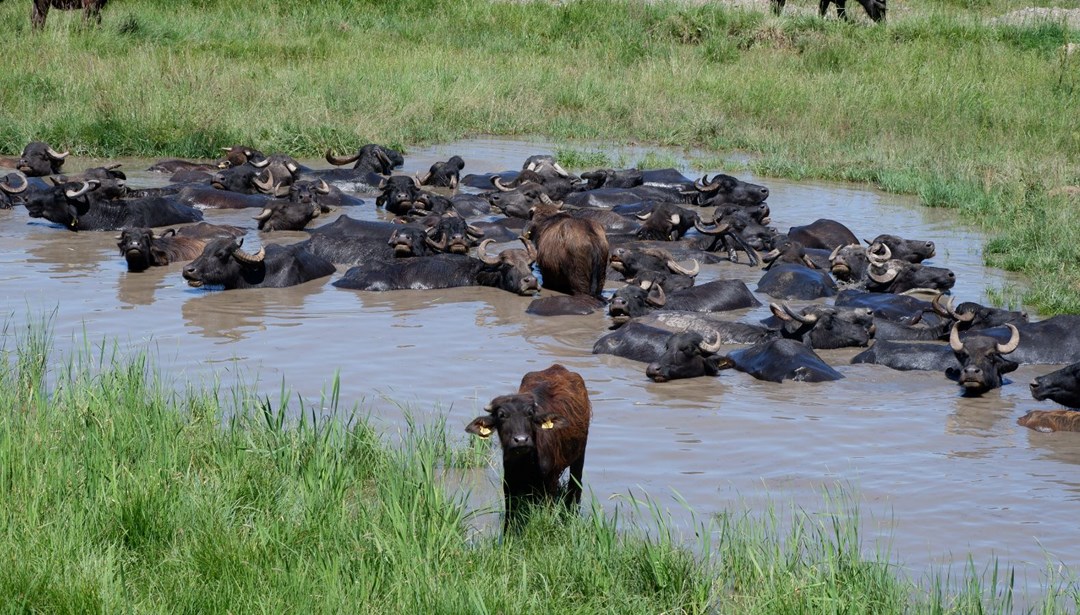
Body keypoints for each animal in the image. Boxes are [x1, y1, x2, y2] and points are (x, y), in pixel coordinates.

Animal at [464, 363, 591, 529]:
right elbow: (510, 518)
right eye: (501, 415)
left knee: (575, 486)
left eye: (530, 413)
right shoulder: (509, 484)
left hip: (579, 456)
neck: (527, 463)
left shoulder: (550, 484)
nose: (521, 440)